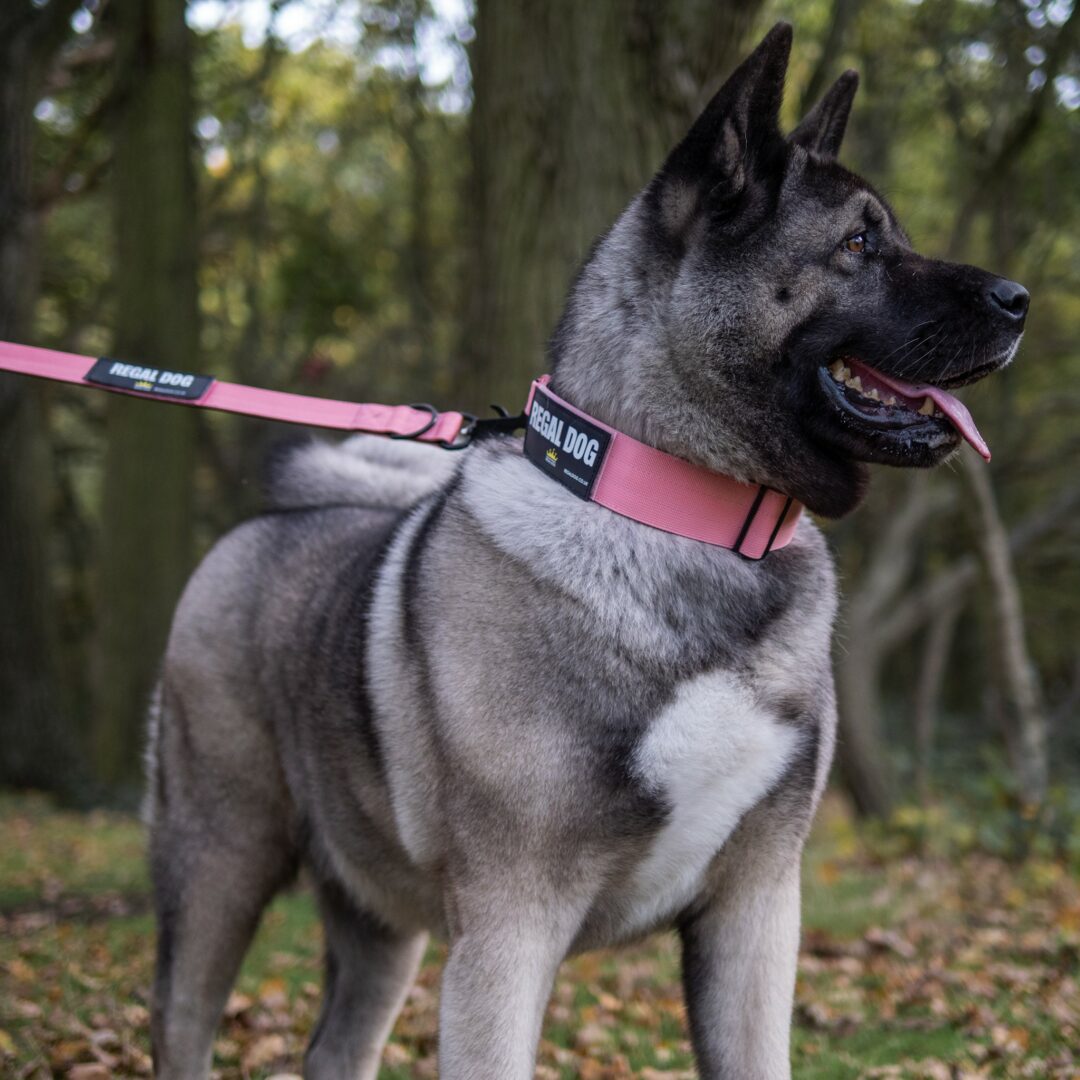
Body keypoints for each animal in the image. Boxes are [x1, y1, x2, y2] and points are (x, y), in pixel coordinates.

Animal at [145, 23, 1028, 1080]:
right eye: (857, 245)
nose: (1020, 298)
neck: (685, 522)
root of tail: (255, 532)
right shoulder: (509, 932)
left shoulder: (757, 912)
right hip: (220, 861)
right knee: (186, 1019)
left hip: (378, 921)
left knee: (334, 1049)